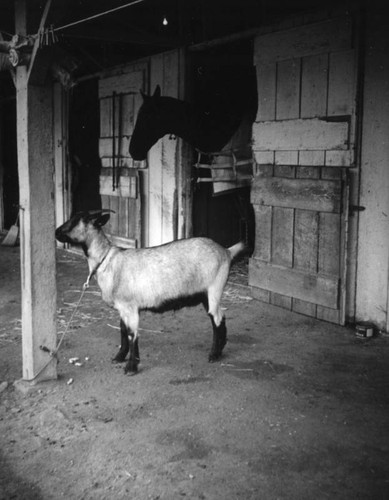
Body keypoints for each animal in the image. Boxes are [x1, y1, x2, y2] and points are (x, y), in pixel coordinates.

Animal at [55, 210, 242, 376]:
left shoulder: (130, 307)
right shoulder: (123, 308)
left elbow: (132, 335)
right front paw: (119, 357)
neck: (106, 260)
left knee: (216, 319)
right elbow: (123, 331)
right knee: (218, 317)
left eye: (75, 220)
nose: (56, 232)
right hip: (206, 295)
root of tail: (226, 251)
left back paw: (214, 355)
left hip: (214, 288)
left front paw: (131, 367)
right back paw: (220, 349)